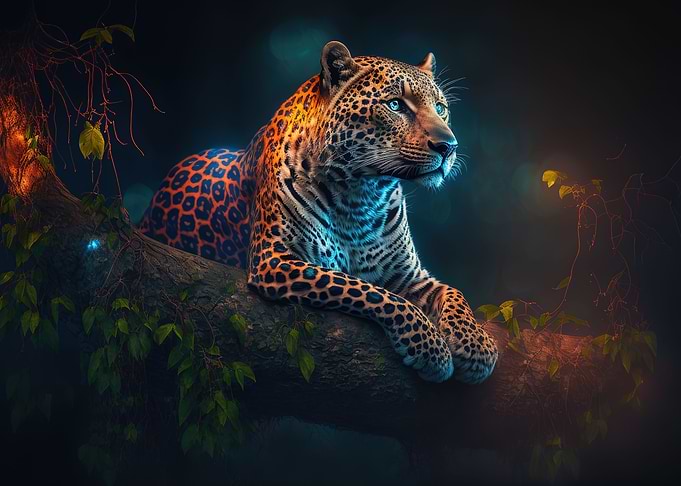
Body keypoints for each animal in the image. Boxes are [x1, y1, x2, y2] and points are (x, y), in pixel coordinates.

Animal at [140, 41, 498, 383]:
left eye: (441, 108)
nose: (448, 146)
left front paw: (476, 345)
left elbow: (453, 292)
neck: (361, 197)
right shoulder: (275, 260)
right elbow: (372, 292)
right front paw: (429, 346)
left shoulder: (408, 275)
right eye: (396, 105)